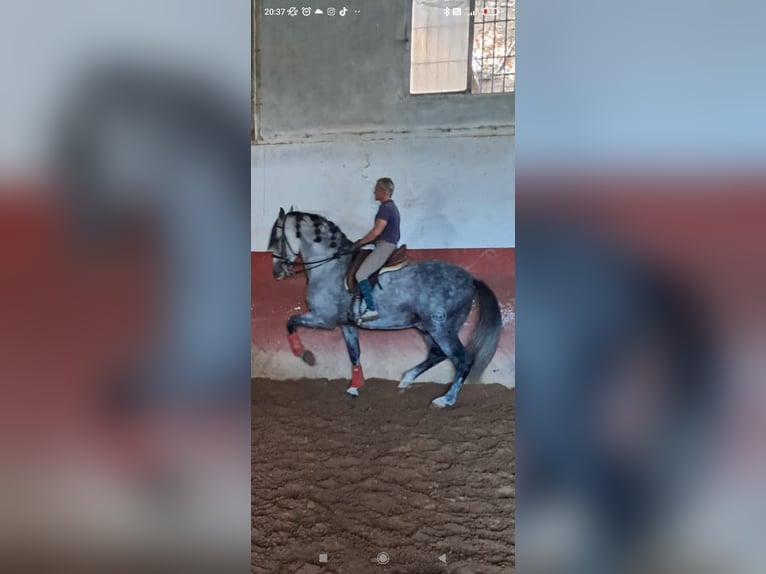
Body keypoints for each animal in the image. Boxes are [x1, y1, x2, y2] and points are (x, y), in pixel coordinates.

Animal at [270, 208, 504, 410]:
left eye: (275, 238)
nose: (277, 272)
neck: (329, 267)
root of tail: (471, 279)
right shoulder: (346, 324)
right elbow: (354, 353)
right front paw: (354, 387)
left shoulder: (323, 319)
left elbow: (290, 322)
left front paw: (304, 355)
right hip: (426, 327)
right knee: (437, 354)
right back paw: (406, 380)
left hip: (441, 328)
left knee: (462, 359)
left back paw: (445, 399)